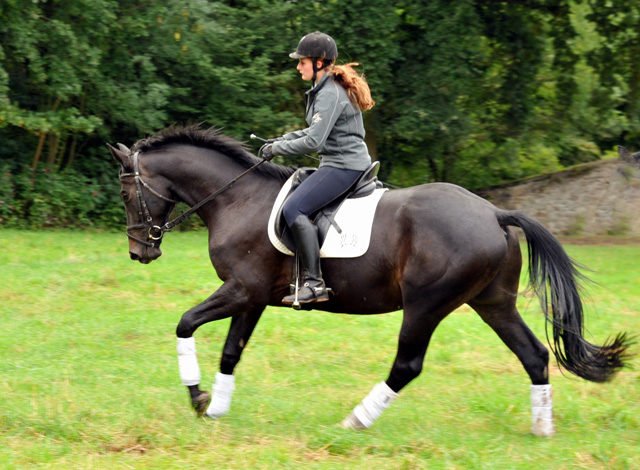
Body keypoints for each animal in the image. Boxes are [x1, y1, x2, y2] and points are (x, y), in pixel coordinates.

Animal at [109, 126, 632, 436]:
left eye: (127, 191)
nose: (140, 252)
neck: (237, 200)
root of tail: (494, 213)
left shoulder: (240, 290)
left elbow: (185, 323)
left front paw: (197, 397)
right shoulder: (252, 297)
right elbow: (231, 351)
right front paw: (215, 408)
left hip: (426, 305)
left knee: (407, 365)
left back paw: (356, 419)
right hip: (493, 302)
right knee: (534, 355)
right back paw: (542, 429)